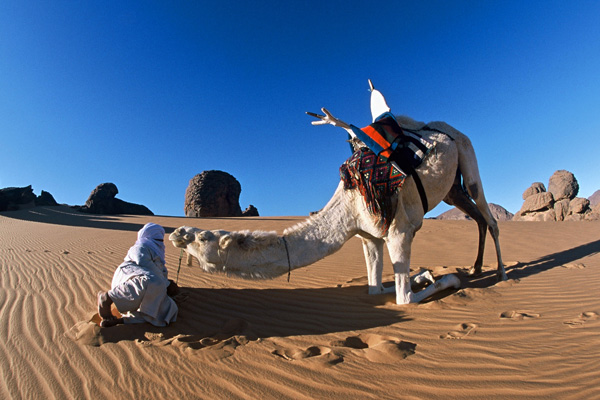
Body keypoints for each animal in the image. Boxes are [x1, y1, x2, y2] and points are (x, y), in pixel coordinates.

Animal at [169, 84, 506, 304]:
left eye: (202, 237)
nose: (176, 234)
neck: (348, 210)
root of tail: (440, 125)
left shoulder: (399, 232)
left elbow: (405, 299)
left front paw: (448, 278)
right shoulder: (369, 236)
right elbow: (375, 289)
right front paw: (424, 275)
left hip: (466, 154)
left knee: (489, 216)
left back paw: (501, 274)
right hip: (451, 189)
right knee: (476, 216)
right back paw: (477, 267)